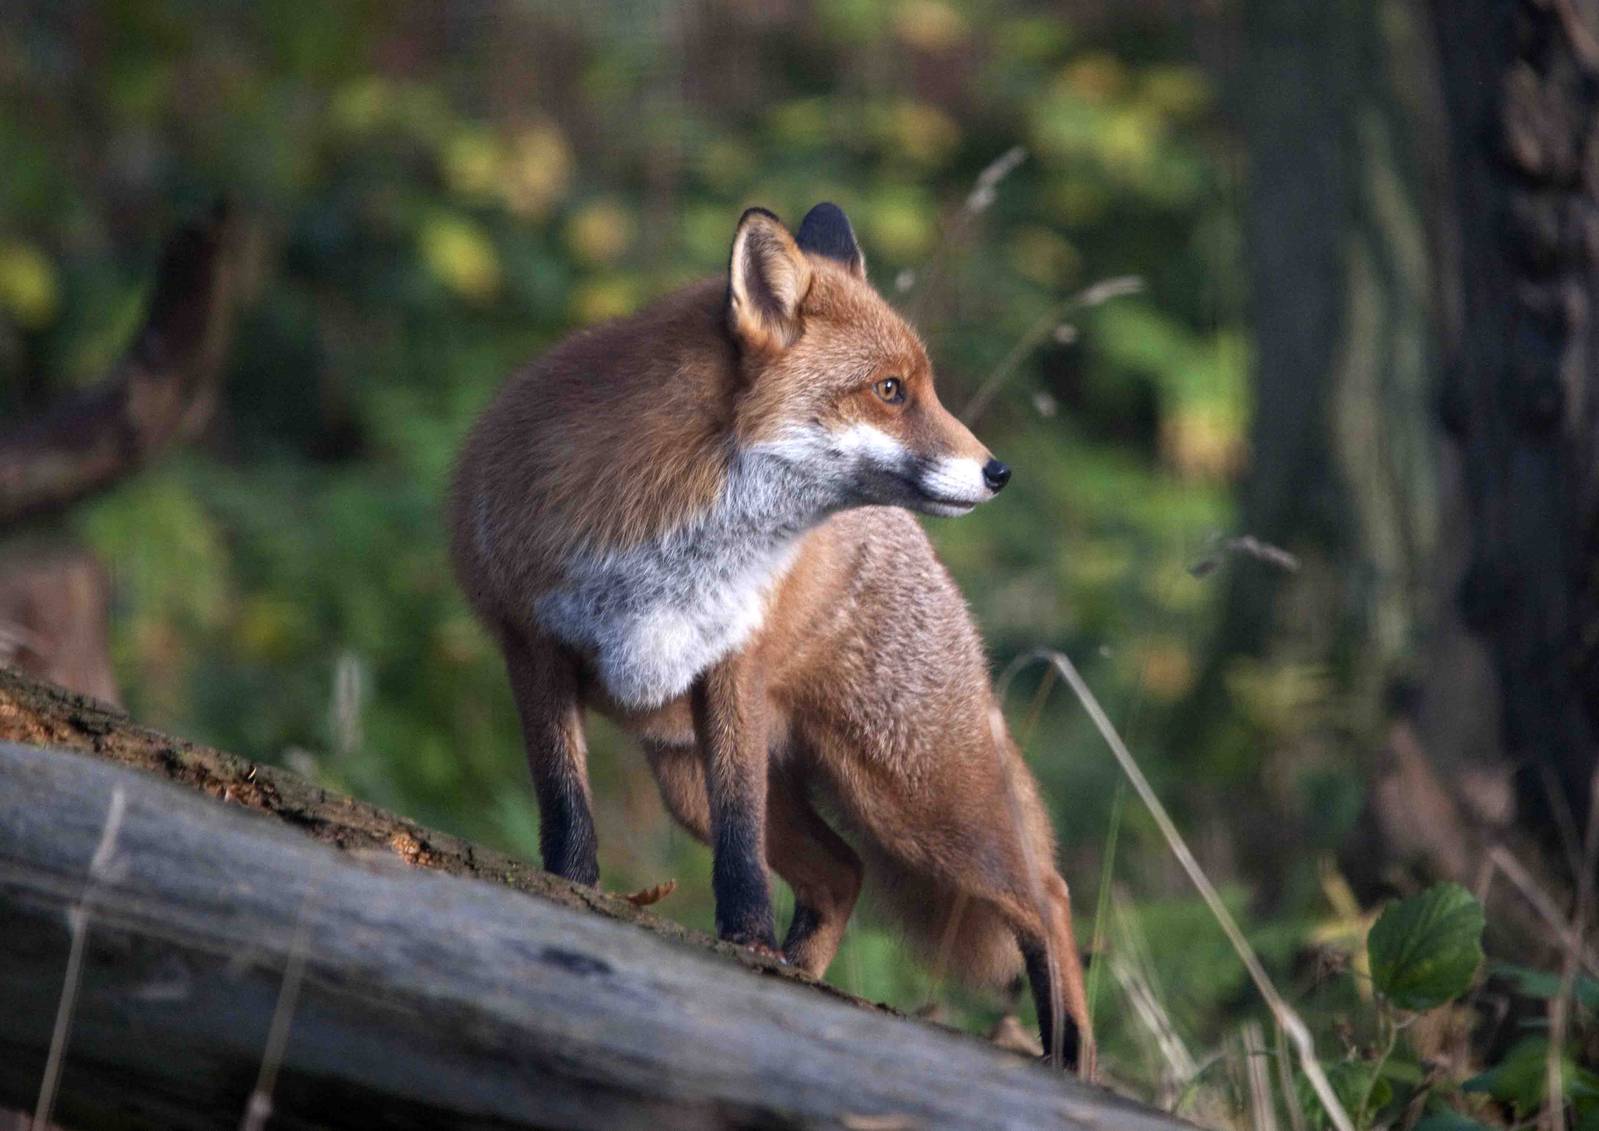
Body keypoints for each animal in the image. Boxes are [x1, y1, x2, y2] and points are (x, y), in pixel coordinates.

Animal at [448, 203, 1094, 1073]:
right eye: (889, 390)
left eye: (918, 386)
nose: (999, 472)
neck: (675, 546)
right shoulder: (534, 645)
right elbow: (565, 799)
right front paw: (576, 889)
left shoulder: (733, 668)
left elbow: (739, 831)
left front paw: (745, 935)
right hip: (689, 778)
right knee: (845, 873)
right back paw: (801, 973)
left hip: (915, 797)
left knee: (1047, 898)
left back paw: (1072, 1060)